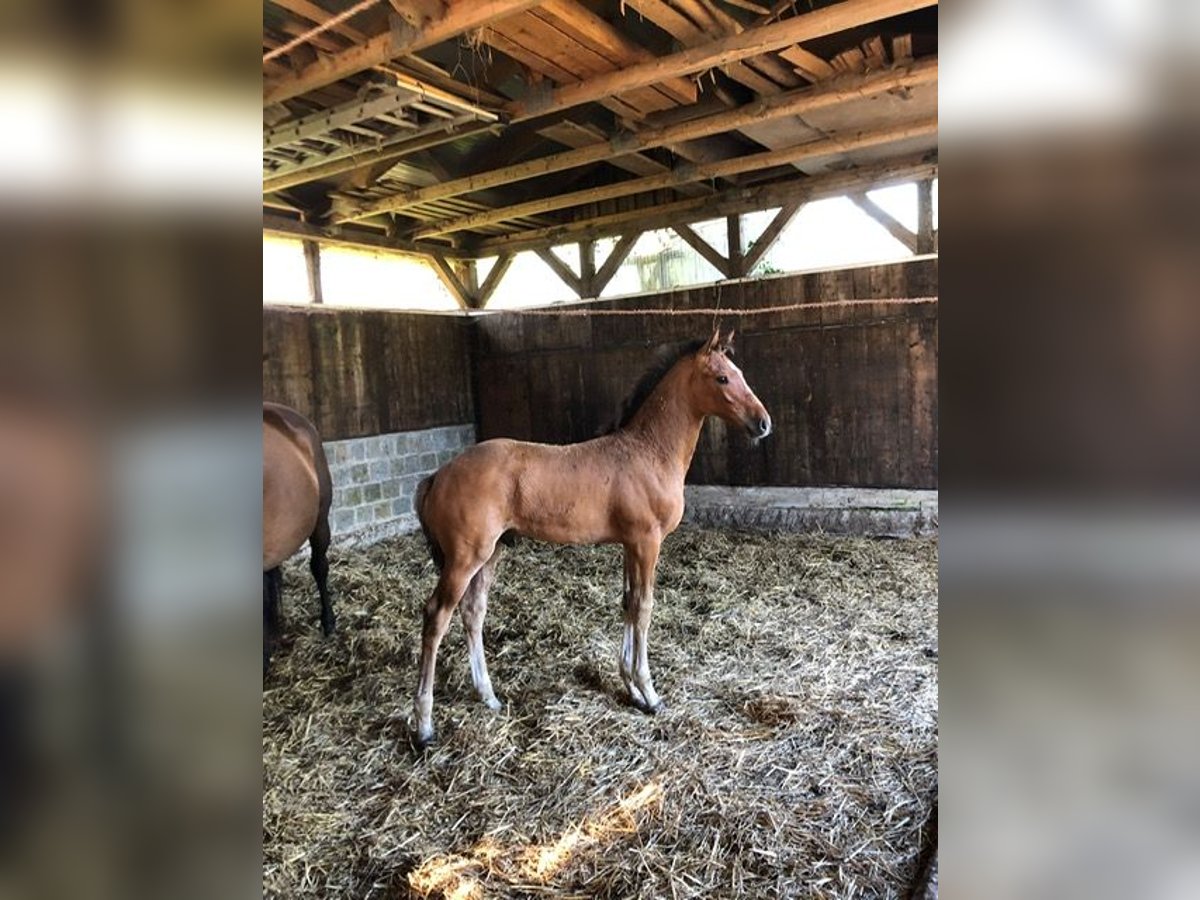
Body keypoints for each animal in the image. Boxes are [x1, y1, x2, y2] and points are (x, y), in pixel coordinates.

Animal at [412, 328, 768, 748]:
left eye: (739, 372)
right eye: (723, 378)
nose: (763, 423)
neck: (649, 453)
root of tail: (439, 474)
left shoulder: (631, 545)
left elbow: (628, 604)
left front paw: (631, 689)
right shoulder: (647, 542)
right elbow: (644, 608)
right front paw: (650, 694)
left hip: (491, 553)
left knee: (473, 611)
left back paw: (488, 696)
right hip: (464, 557)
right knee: (437, 617)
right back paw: (424, 726)